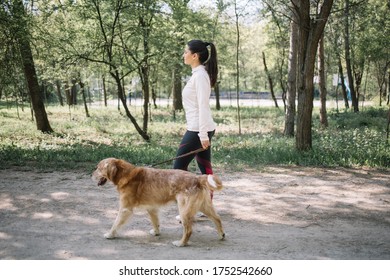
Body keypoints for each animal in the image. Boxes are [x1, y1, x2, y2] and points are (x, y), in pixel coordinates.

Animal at [92, 158, 225, 247]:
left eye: (98, 168)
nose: (90, 175)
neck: (126, 175)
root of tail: (198, 177)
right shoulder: (152, 208)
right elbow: (155, 222)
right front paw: (156, 232)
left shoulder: (125, 209)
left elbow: (115, 224)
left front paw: (110, 234)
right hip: (204, 207)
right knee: (217, 218)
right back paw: (221, 235)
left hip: (184, 211)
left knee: (188, 230)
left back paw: (181, 243)